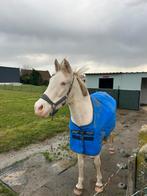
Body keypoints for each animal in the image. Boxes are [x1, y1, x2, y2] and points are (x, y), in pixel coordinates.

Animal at [34, 59, 116, 195]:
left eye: (63, 83)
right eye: (50, 81)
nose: (38, 108)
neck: (83, 119)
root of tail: (105, 94)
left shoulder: (95, 142)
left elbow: (97, 163)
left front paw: (99, 184)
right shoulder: (78, 144)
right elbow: (81, 164)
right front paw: (79, 186)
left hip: (111, 128)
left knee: (111, 138)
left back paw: (111, 150)